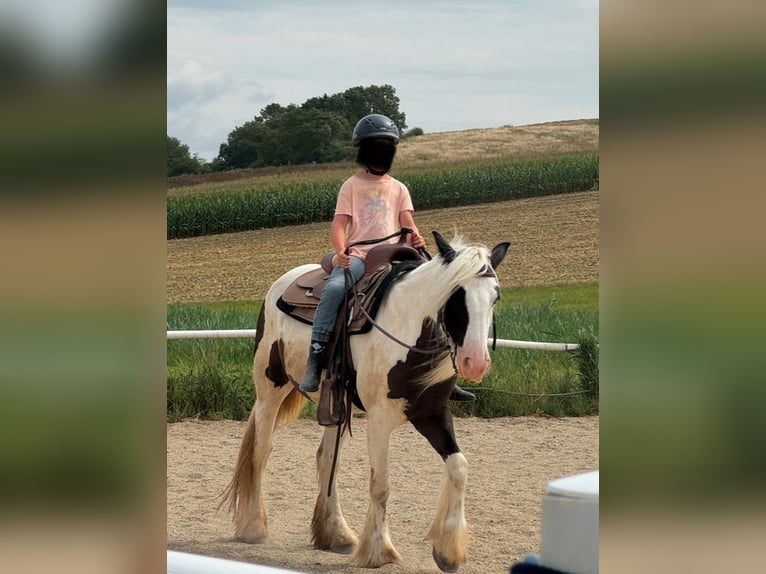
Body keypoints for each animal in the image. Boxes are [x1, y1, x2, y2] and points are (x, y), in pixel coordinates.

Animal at [222, 232, 510, 572]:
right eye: (455, 293)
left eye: (495, 296)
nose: (475, 363)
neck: (408, 329)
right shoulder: (379, 418)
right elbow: (380, 484)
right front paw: (378, 550)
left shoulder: (433, 413)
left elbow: (459, 468)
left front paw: (448, 551)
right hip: (269, 391)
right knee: (260, 452)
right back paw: (253, 527)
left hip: (333, 404)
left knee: (325, 459)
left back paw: (336, 534)